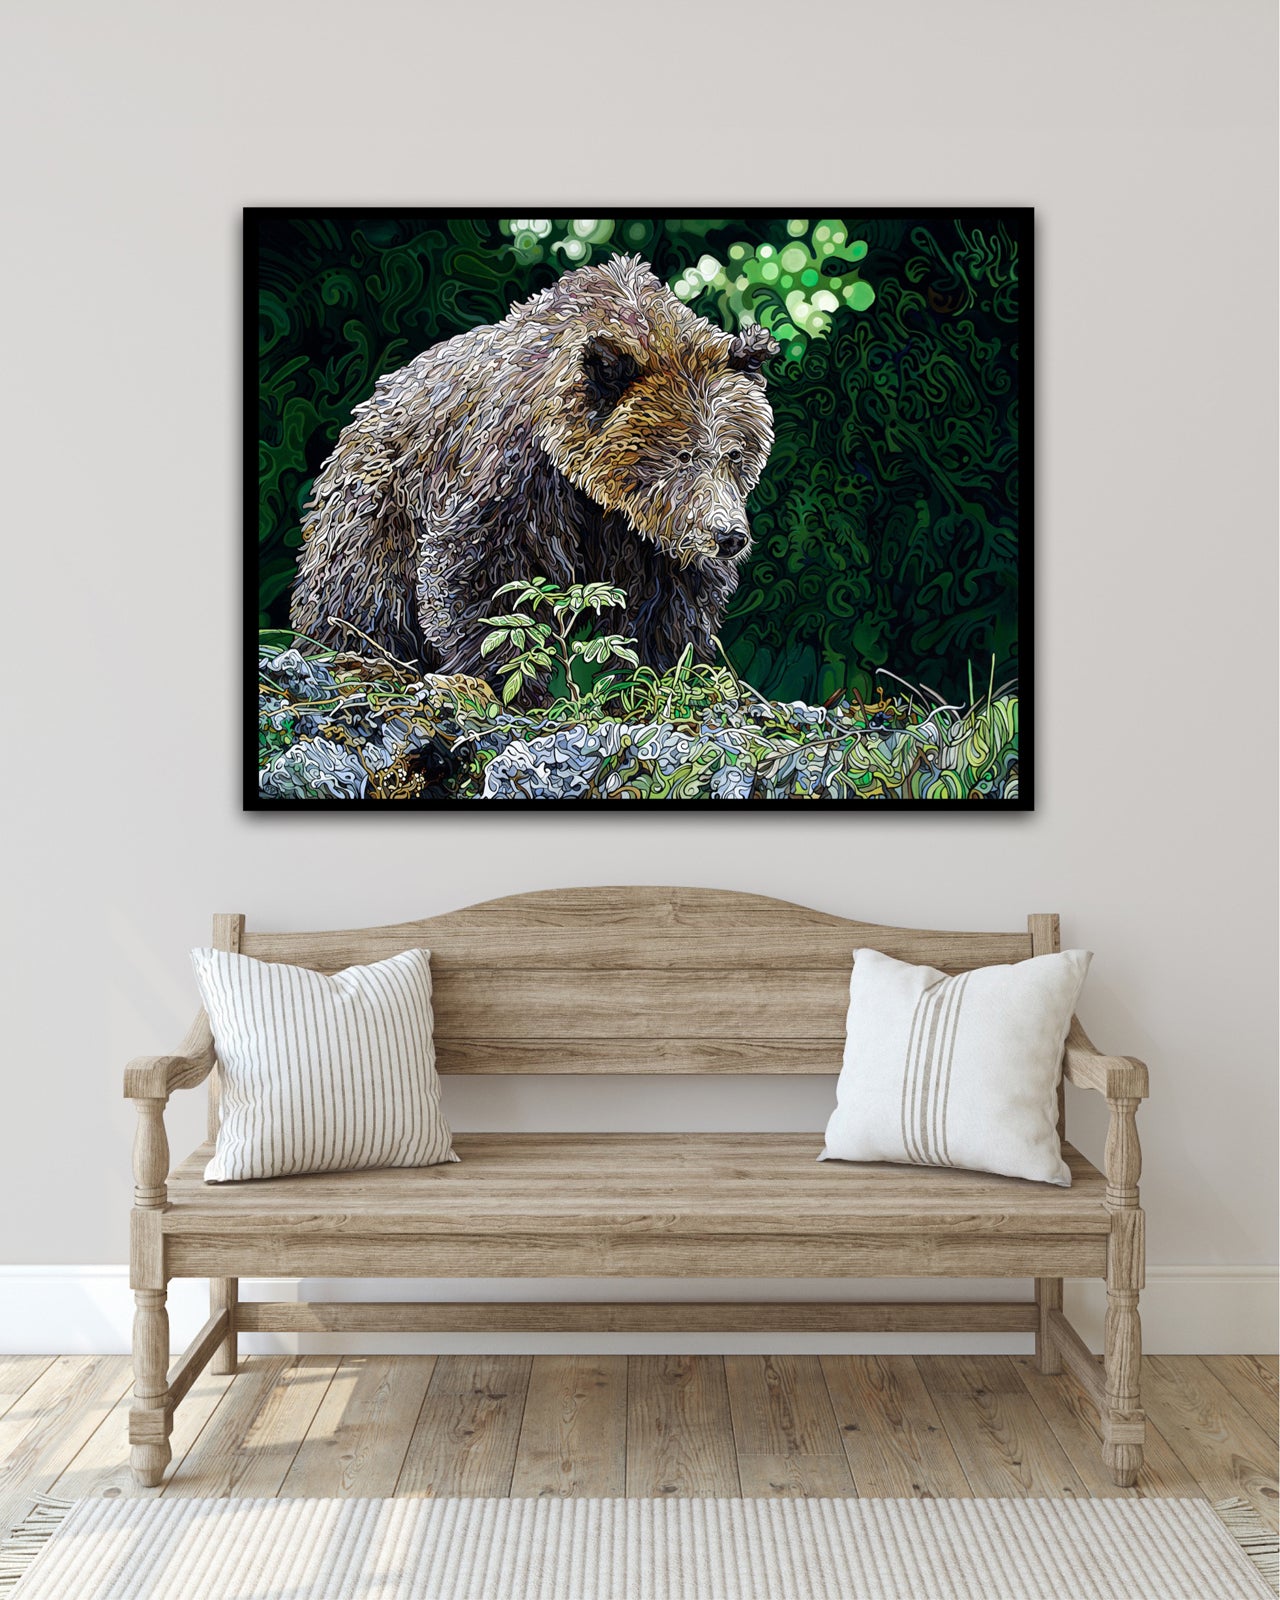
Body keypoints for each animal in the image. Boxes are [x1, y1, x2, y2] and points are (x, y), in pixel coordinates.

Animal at [289, 254, 779, 682]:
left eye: (735, 453)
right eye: (681, 455)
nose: (729, 536)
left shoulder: (651, 537)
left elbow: (667, 603)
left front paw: (654, 677)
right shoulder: (519, 473)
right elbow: (488, 572)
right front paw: (514, 681)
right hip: (378, 509)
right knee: (359, 596)